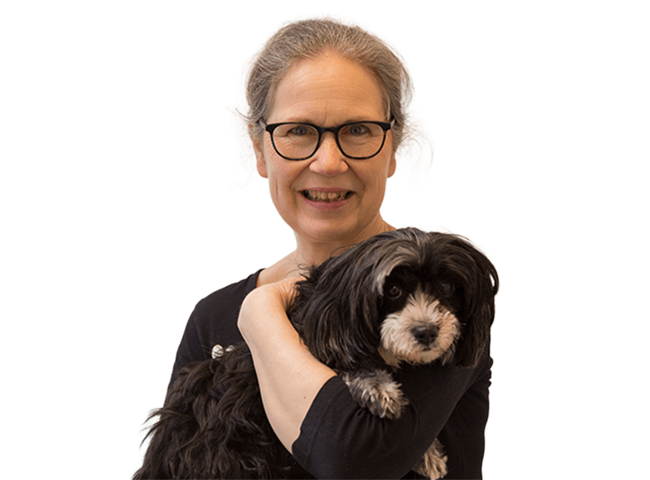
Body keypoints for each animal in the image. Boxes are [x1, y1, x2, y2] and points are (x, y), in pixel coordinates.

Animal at [132, 227, 500, 480]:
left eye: (447, 288)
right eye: (393, 290)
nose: (427, 332)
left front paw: (429, 452)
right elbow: (345, 363)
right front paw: (378, 388)